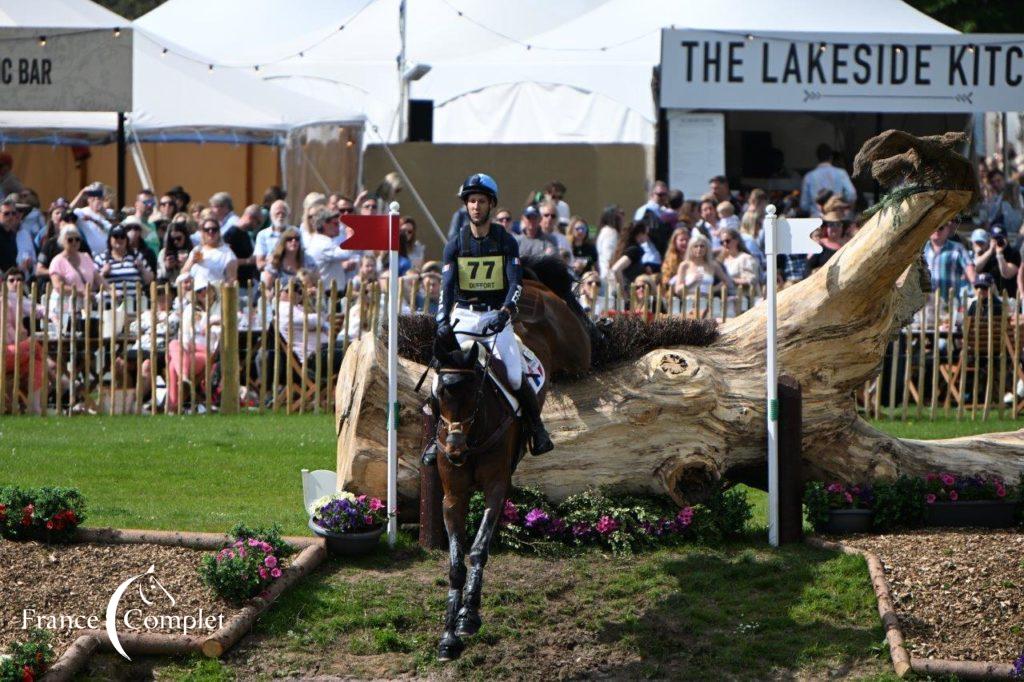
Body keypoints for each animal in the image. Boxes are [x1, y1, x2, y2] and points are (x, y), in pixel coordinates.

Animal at [432, 261, 593, 659]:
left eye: (474, 393)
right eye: (439, 394)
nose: (454, 451)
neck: (473, 436)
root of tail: (533, 286)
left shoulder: (495, 487)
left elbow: (477, 550)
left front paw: (468, 617)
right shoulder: (452, 497)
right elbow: (456, 562)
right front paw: (448, 635)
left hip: (576, 349)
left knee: (585, 340)